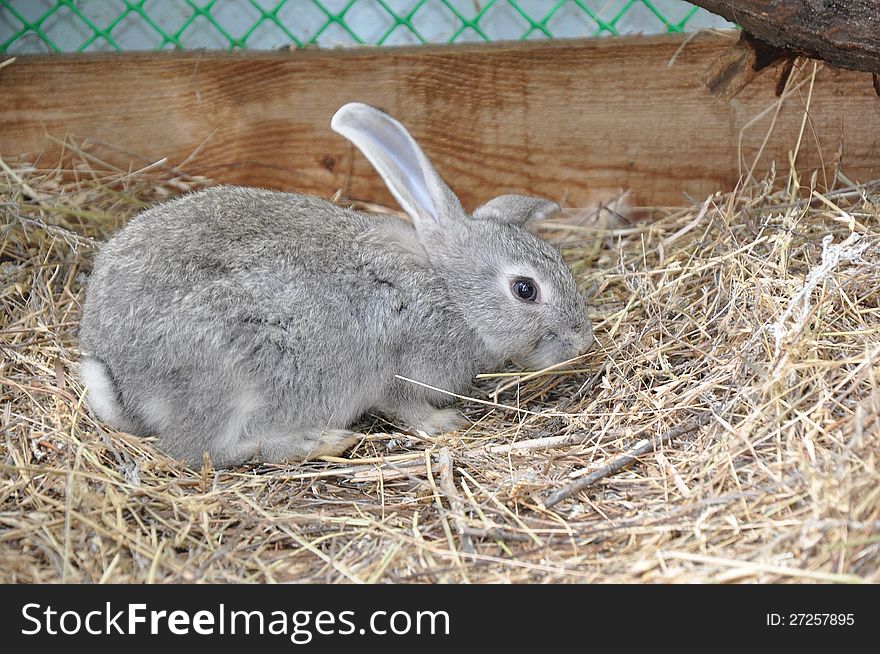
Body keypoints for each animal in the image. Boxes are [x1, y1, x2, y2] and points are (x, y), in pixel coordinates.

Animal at [79, 102, 596, 468]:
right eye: (525, 290)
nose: (582, 343)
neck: (451, 293)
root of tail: (118, 375)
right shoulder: (400, 368)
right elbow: (406, 406)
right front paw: (446, 422)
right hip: (228, 381)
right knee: (204, 451)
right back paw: (323, 441)